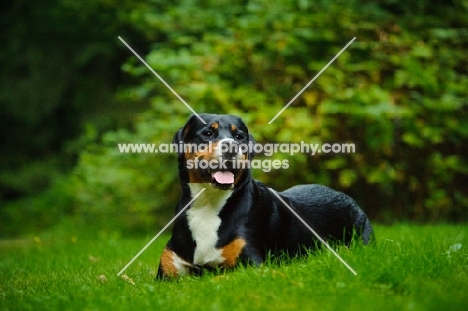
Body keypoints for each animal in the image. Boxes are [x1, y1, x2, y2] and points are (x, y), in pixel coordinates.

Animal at [157, 113, 372, 280]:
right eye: (208, 133)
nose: (231, 146)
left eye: (239, 136)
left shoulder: (251, 264)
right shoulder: (167, 270)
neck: (208, 205)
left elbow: (214, 278)